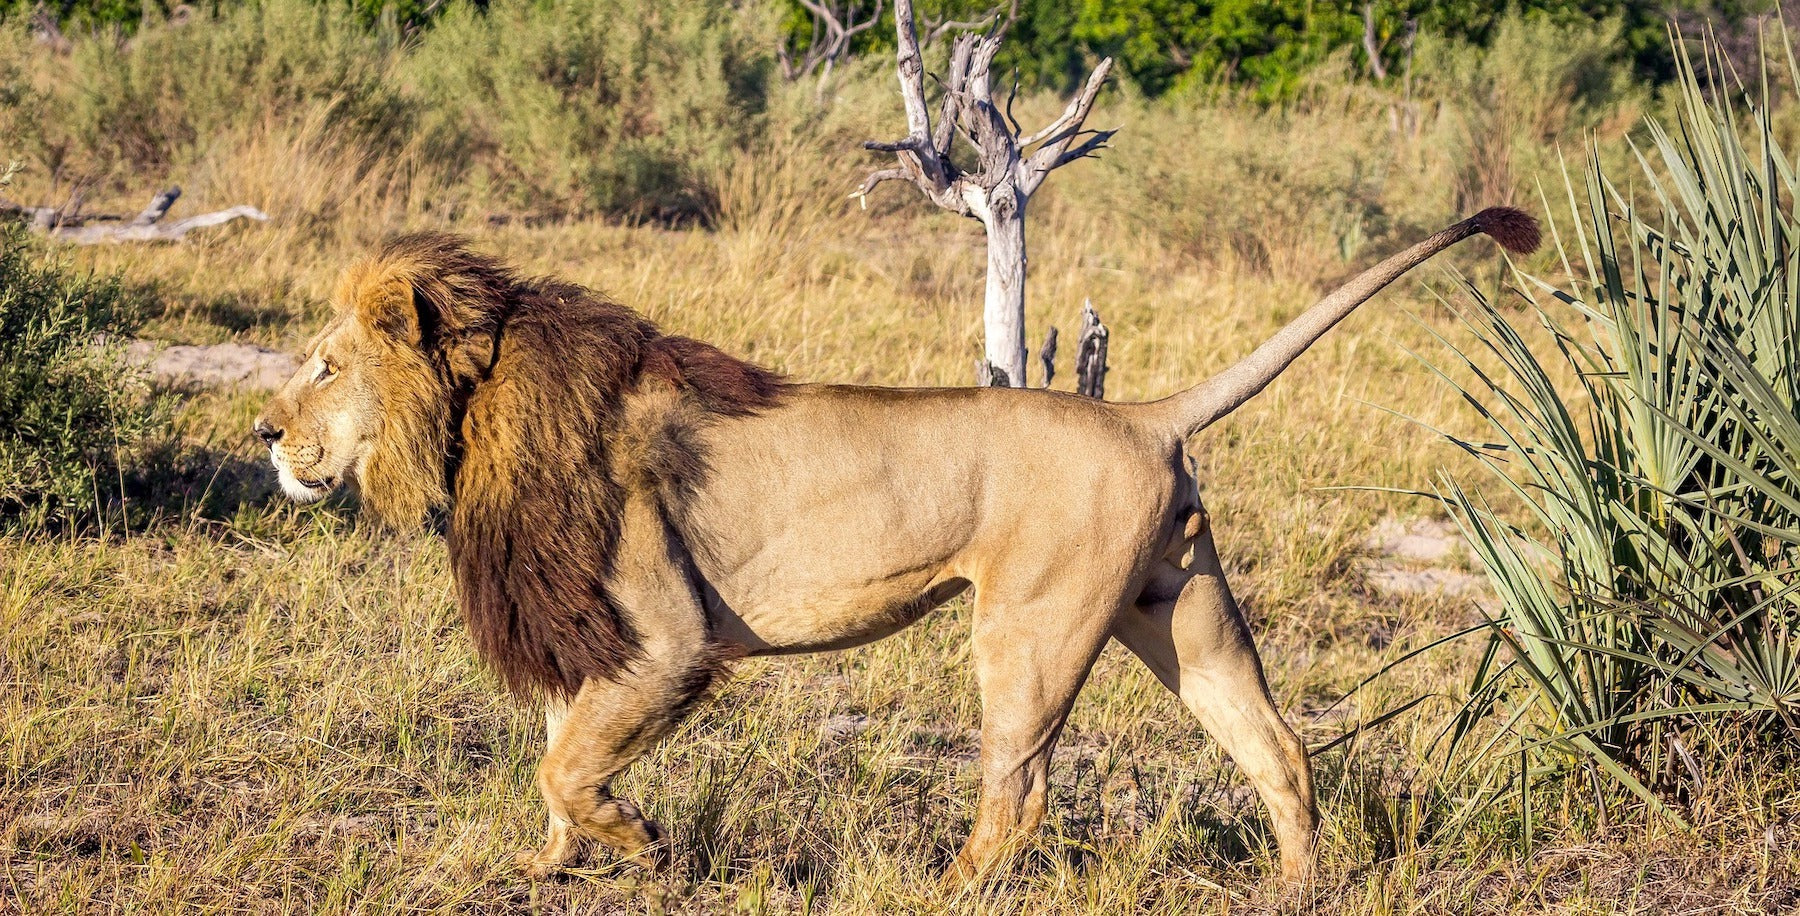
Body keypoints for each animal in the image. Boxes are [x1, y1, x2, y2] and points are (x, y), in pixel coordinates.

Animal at [253, 205, 1540, 878]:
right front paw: (557, 862)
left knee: (1020, 787)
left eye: (322, 364)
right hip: (1182, 608)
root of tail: (1141, 413)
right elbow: (567, 746)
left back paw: (952, 884)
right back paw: (1297, 887)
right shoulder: (603, 632)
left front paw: (637, 842)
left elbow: (564, 757)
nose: (261, 432)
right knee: (1278, 748)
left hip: (1030, 627)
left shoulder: (663, 634)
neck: (480, 410)